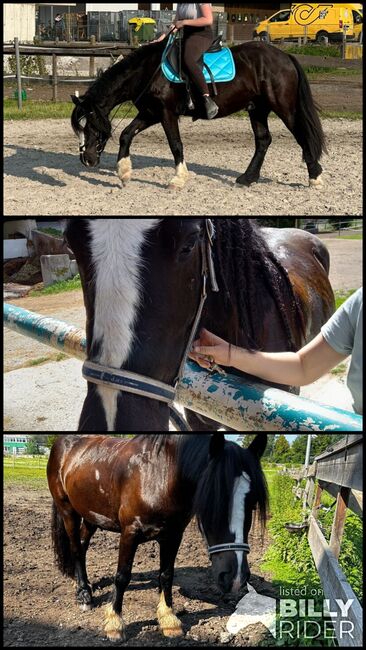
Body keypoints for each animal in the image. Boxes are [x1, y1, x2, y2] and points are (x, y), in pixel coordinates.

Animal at [47, 430, 268, 636]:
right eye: (212, 500)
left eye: (253, 503)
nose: (236, 578)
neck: (159, 475)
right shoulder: (129, 533)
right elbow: (122, 576)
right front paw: (115, 623)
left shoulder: (173, 535)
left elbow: (166, 574)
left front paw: (168, 619)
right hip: (68, 511)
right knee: (76, 548)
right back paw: (83, 594)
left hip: (92, 515)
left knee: (83, 545)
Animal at [71, 38, 326, 189]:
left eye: (89, 125)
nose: (87, 159)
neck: (148, 71)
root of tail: (285, 56)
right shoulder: (150, 113)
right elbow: (126, 134)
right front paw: (124, 173)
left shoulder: (166, 113)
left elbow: (175, 144)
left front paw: (178, 178)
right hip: (257, 108)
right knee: (263, 140)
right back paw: (247, 178)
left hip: (284, 107)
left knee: (301, 135)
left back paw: (315, 177)